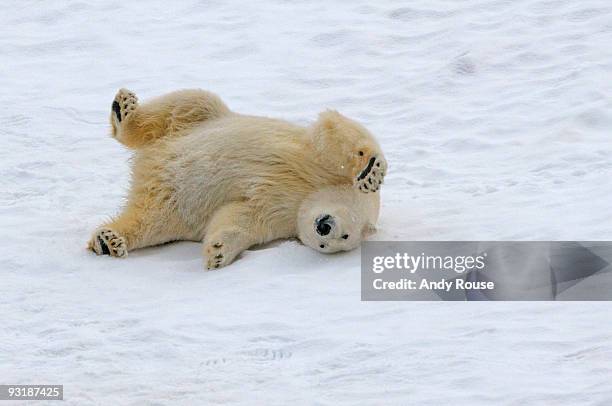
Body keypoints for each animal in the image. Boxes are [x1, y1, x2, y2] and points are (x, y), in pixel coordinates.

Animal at [88, 88, 388, 270]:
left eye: (343, 238)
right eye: (346, 225)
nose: (323, 228)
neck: (307, 194)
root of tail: (150, 165)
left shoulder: (281, 214)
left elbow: (243, 217)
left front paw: (218, 252)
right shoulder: (311, 167)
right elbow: (331, 138)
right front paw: (370, 170)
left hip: (168, 204)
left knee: (151, 221)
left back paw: (109, 240)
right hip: (200, 121)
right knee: (189, 103)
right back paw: (124, 110)